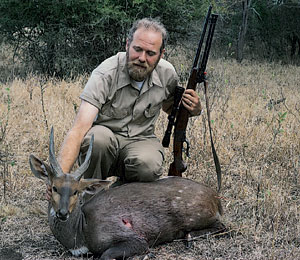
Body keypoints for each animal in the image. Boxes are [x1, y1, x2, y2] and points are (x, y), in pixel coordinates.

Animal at [29, 128, 223, 260]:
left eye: (76, 191)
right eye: (54, 187)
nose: (62, 213)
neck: (81, 232)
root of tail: (216, 197)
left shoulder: (133, 237)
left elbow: (106, 255)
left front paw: (147, 255)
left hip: (196, 215)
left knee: (222, 226)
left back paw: (189, 237)